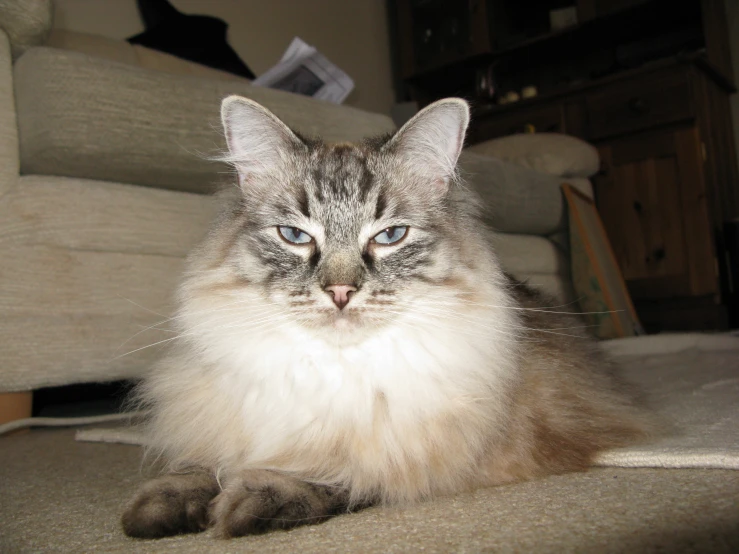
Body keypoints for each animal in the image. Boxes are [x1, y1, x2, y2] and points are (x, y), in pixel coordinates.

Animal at [121, 95, 652, 536]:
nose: (340, 292)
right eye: (295, 236)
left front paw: (253, 499)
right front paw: (161, 507)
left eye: (390, 236)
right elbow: (197, 467)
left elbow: (337, 472)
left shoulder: (426, 454)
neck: (332, 372)